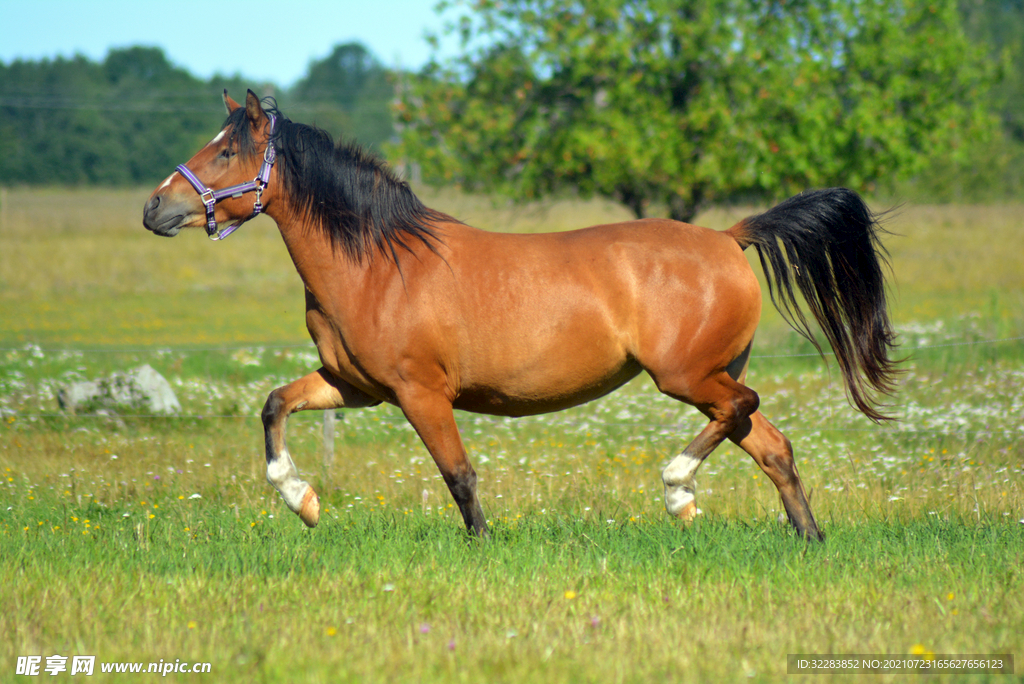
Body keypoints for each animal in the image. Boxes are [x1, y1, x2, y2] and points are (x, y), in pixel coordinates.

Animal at [143, 90, 900, 542]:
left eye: (227, 149)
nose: (155, 207)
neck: (381, 265)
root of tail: (727, 236)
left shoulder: (420, 393)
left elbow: (458, 475)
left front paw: (481, 545)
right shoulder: (355, 386)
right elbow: (275, 404)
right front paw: (301, 500)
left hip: (687, 376)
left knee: (745, 408)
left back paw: (678, 491)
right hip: (708, 376)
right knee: (771, 443)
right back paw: (808, 539)